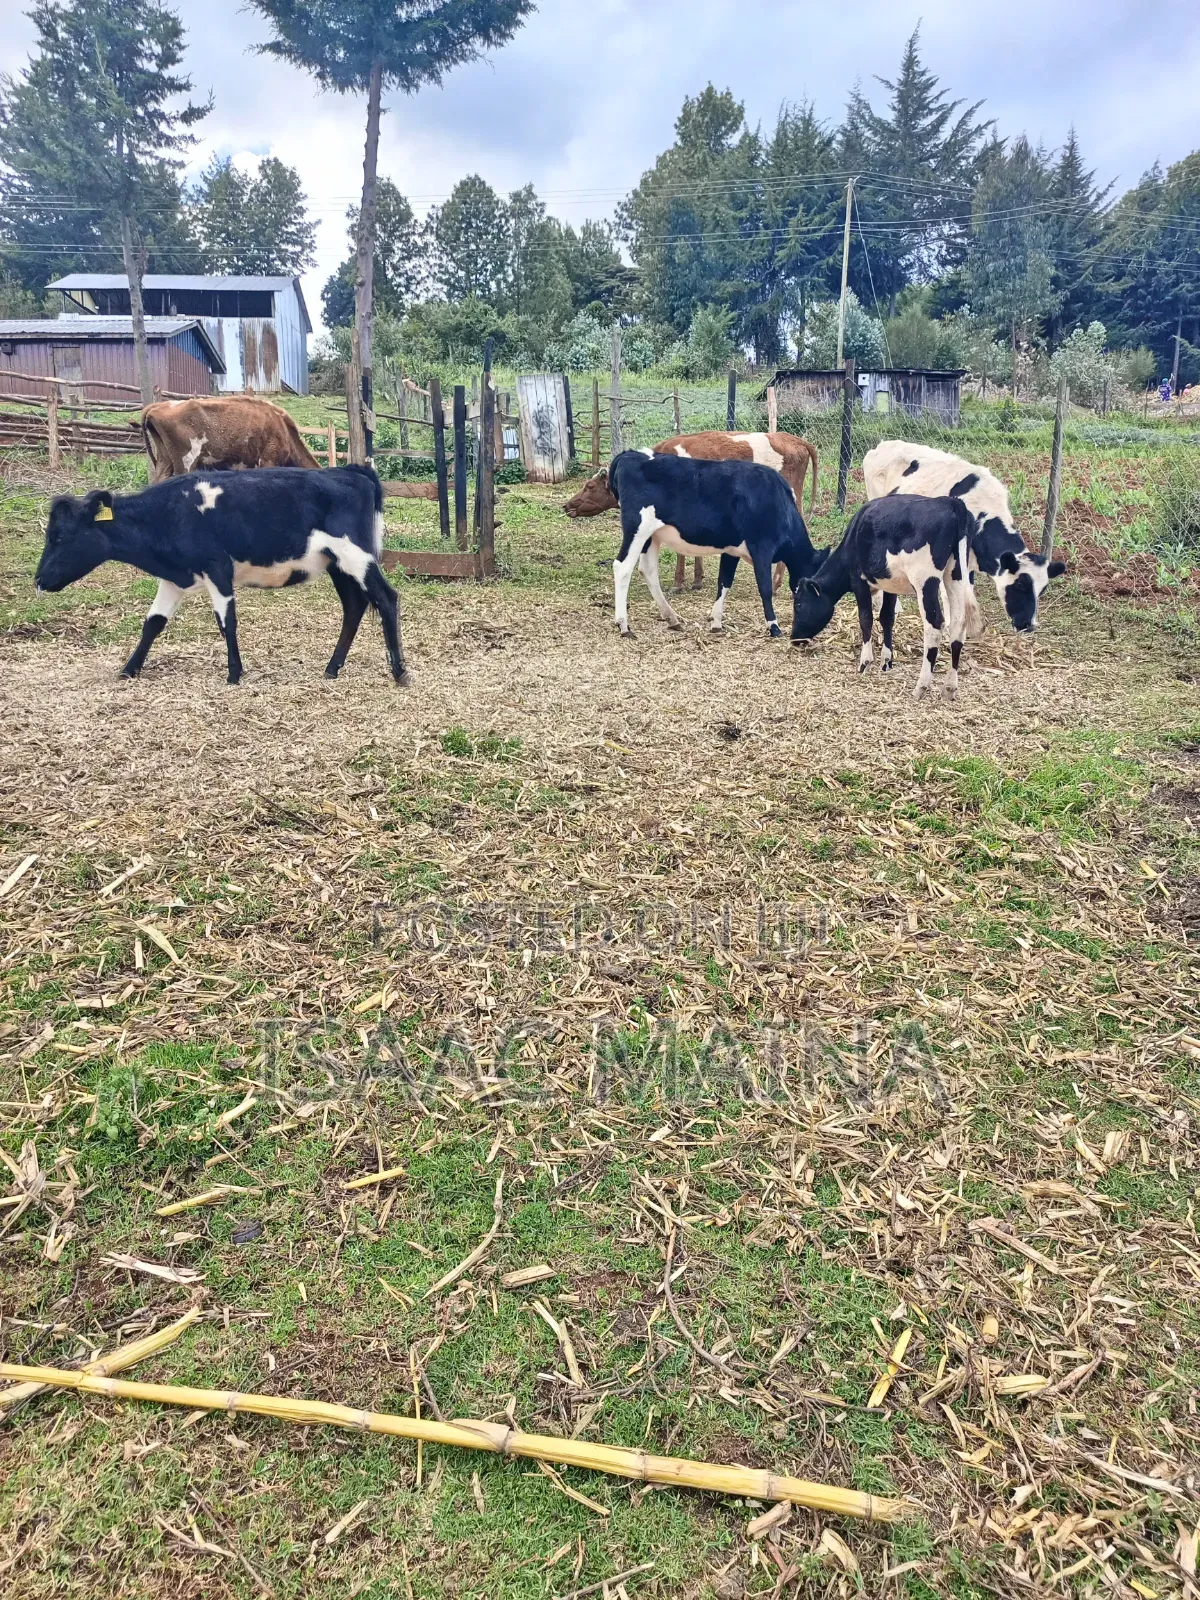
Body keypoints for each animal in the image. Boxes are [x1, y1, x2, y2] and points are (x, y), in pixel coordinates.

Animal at [34, 466, 408, 687]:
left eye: (60, 536)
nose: (38, 581)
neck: (169, 514)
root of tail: (350, 470)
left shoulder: (217, 568)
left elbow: (226, 621)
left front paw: (234, 673)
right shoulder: (174, 578)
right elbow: (152, 623)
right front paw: (129, 668)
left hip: (355, 556)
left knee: (385, 598)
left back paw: (400, 672)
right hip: (337, 565)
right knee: (355, 606)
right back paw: (332, 668)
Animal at [564, 431, 818, 592]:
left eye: (589, 486)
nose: (567, 505)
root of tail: (794, 439)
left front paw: (679, 582)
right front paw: (696, 580)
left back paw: (775, 583)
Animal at [605, 451, 826, 640]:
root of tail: (630, 454)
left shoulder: (732, 550)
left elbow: (724, 582)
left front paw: (716, 622)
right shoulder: (762, 547)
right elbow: (764, 588)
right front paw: (774, 626)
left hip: (651, 536)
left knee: (648, 570)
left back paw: (672, 618)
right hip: (637, 528)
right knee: (623, 568)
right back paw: (624, 625)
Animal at [791, 495, 978, 699]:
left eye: (798, 605)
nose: (793, 638)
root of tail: (949, 501)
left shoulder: (859, 581)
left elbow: (866, 618)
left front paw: (865, 663)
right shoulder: (890, 585)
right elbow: (887, 617)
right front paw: (887, 662)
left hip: (925, 580)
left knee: (934, 625)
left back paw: (921, 686)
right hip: (956, 574)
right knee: (958, 623)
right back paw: (949, 687)